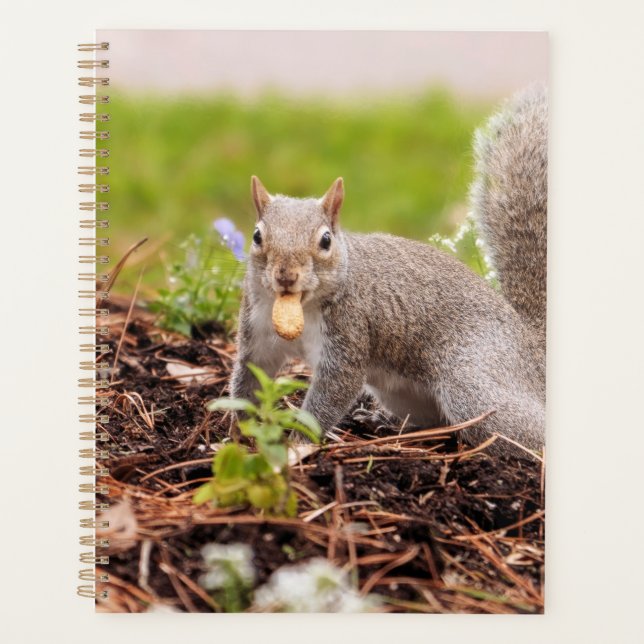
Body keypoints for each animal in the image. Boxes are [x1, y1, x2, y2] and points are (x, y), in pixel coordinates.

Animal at [230, 86, 547, 456]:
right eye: (256, 236)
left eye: (325, 240)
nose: (286, 275)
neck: (298, 309)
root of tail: (531, 346)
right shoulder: (258, 333)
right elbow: (248, 381)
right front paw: (238, 433)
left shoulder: (348, 335)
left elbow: (330, 396)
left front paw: (296, 447)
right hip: (403, 393)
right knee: (436, 421)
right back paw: (386, 424)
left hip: (475, 382)